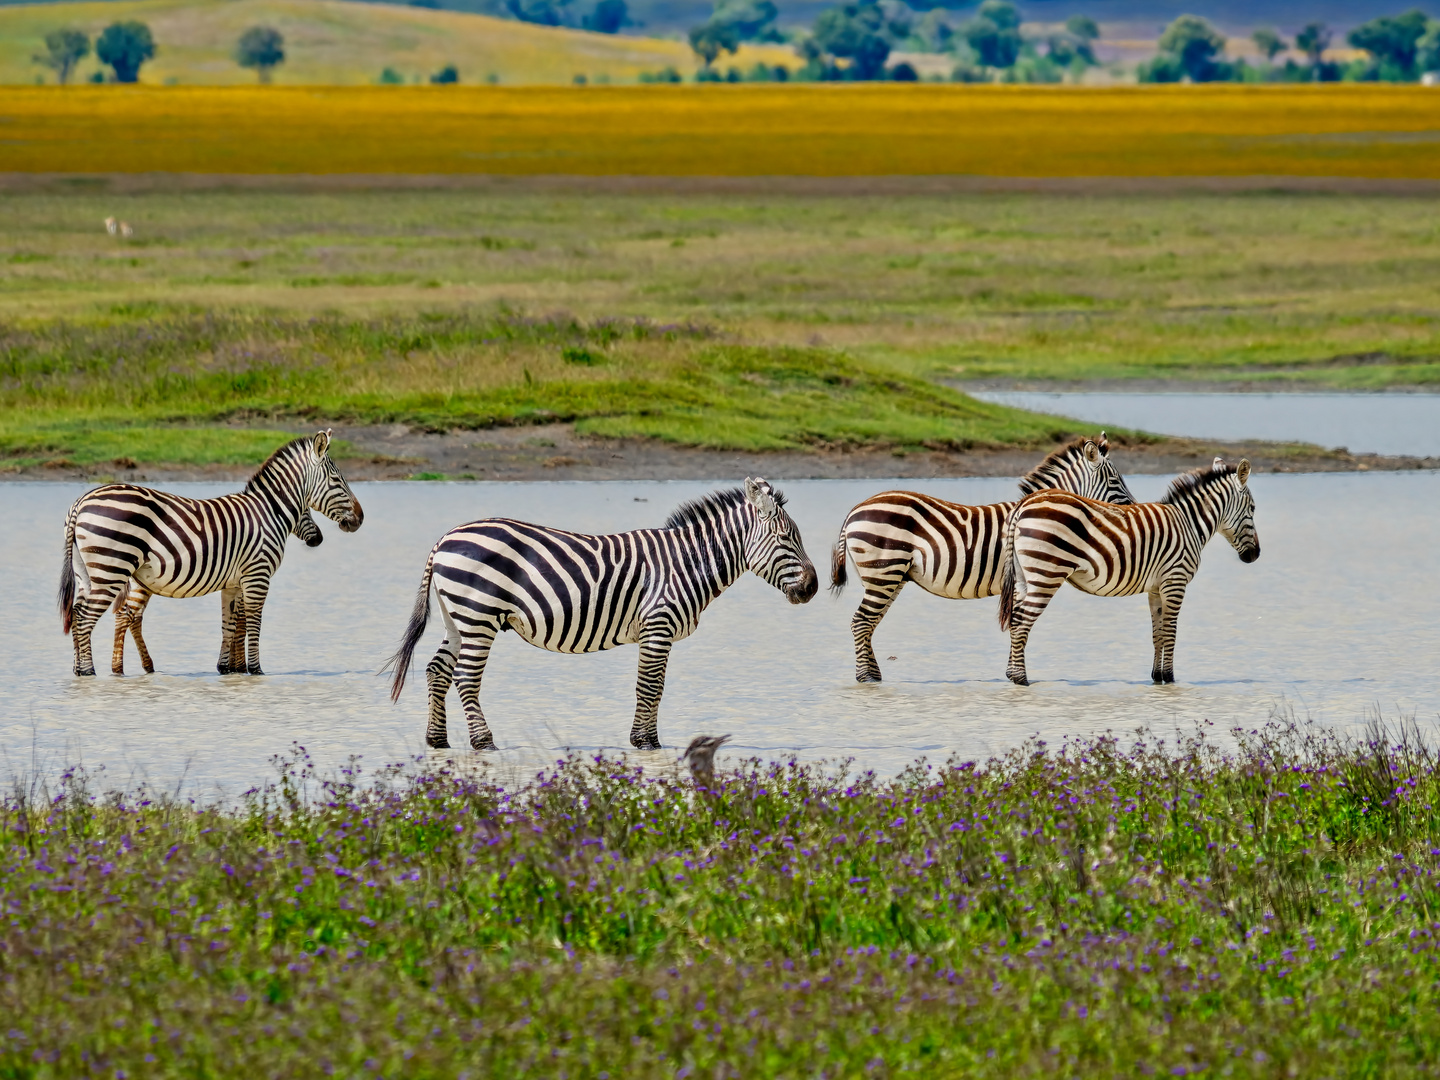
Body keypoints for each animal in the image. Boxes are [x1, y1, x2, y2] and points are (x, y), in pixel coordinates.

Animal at [110, 509, 328, 676]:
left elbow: (236, 624)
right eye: (305, 512)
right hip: (139, 586)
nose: (319, 538)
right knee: (127, 616)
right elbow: (241, 626)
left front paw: (233, 666)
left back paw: (148, 667)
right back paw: (122, 669)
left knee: (135, 619)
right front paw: (238, 666)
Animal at [388, 480, 817, 754]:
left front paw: (648, 741)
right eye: (786, 538)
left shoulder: (657, 632)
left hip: (457, 617)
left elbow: (656, 688)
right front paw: (645, 743)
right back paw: (484, 742)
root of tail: (445, 538)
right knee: (465, 677)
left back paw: (437, 740)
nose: (813, 588)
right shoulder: (657, 626)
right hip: (478, 615)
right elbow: (650, 687)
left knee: (437, 670)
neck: (687, 563)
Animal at [835, 434, 1134, 679]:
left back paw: (874, 676)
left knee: (869, 623)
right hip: (883, 570)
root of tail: (855, 509)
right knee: (861, 622)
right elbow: (1017, 623)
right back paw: (867, 679)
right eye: (1114, 481)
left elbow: (1015, 623)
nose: (1133, 509)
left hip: (890, 577)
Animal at [1002, 457, 1261, 685]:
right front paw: (1170, 679)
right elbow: (1171, 632)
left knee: (1015, 620)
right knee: (1023, 622)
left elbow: (1158, 634)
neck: (1189, 524)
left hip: (1024, 577)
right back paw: (1022, 680)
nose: (1255, 555)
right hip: (1046, 573)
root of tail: (1024, 503)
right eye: (1253, 508)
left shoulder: (1156, 589)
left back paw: (1013, 676)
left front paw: (1157, 678)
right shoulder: (1175, 581)